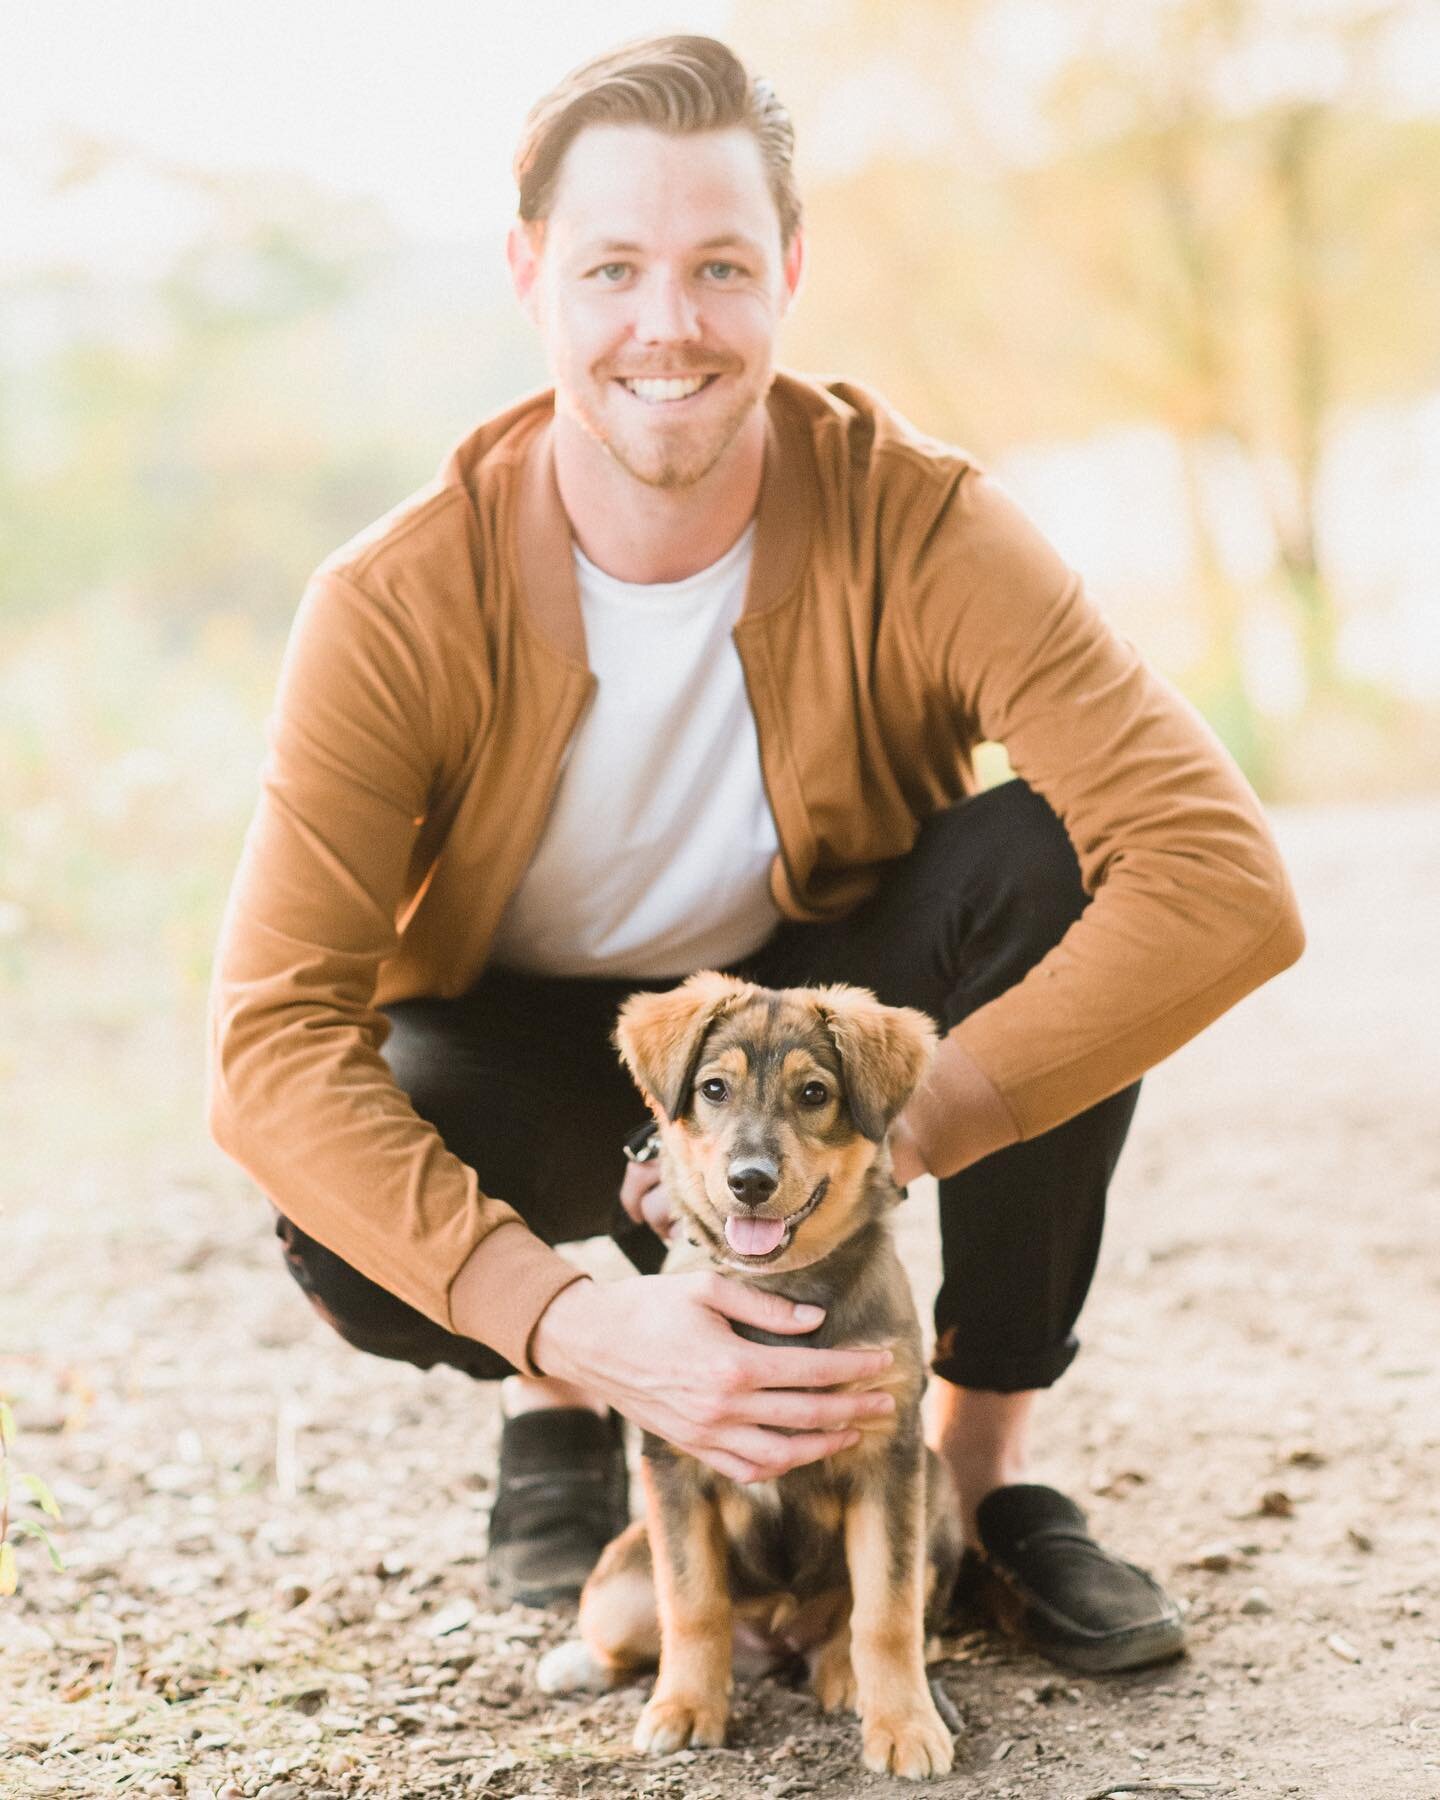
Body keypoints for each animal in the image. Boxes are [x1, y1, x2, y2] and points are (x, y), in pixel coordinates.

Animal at [532, 979, 964, 1778]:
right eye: (714, 1089)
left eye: (814, 1092)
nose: (751, 1182)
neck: (780, 1289)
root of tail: (776, 1634)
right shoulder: (675, 1463)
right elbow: (691, 1603)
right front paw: (684, 1709)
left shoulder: (888, 1460)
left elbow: (885, 1613)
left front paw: (905, 1725)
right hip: (620, 1575)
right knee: (646, 1624)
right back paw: (582, 1665)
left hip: (936, 1490)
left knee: (863, 1620)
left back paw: (845, 1676)